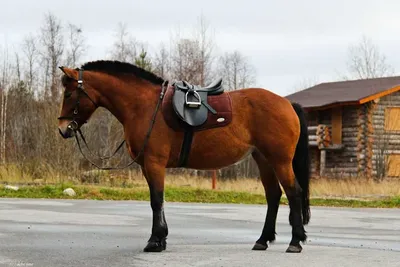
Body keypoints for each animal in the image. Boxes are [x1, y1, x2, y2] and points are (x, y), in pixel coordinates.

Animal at [57, 60, 310, 255]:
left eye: (69, 94)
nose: (63, 129)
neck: (145, 107)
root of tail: (287, 103)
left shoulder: (154, 163)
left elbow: (156, 200)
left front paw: (154, 241)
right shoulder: (147, 166)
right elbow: (158, 200)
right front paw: (161, 239)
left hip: (280, 160)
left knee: (293, 193)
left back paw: (295, 242)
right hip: (263, 159)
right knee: (274, 195)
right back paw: (262, 240)